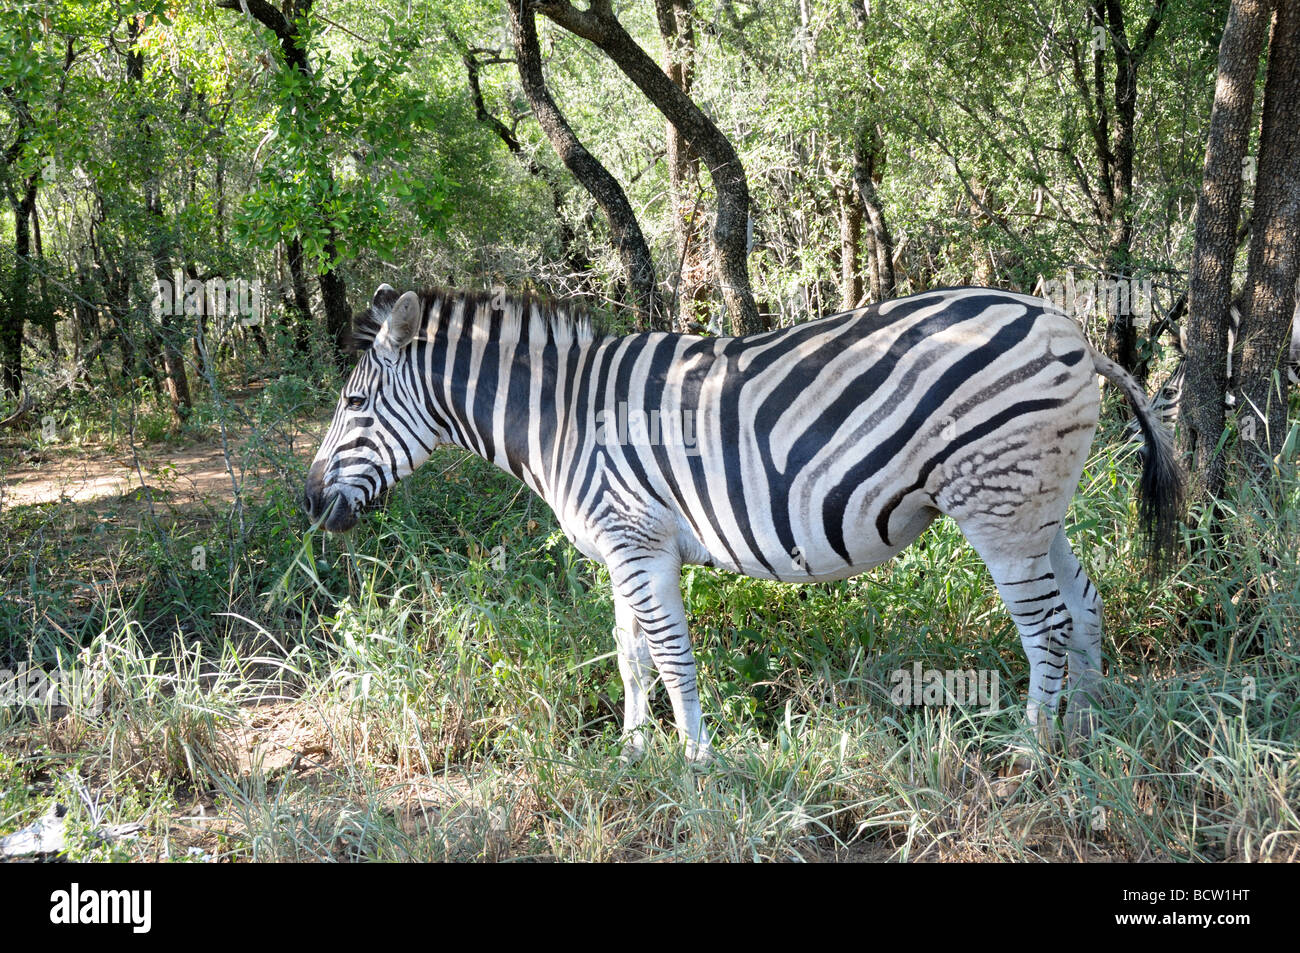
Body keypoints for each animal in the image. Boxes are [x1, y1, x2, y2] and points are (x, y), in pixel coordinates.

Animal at [304, 285, 1184, 762]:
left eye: (353, 402)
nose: (310, 506)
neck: (564, 417)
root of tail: (1070, 330)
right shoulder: (624, 548)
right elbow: (629, 655)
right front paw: (633, 751)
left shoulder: (639, 540)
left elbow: (669, 655)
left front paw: (697, 759)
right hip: (1036, 503)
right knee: (1084, 605)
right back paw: (1086, 728)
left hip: (996, 502)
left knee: (1045, 626)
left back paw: (1034, 748)